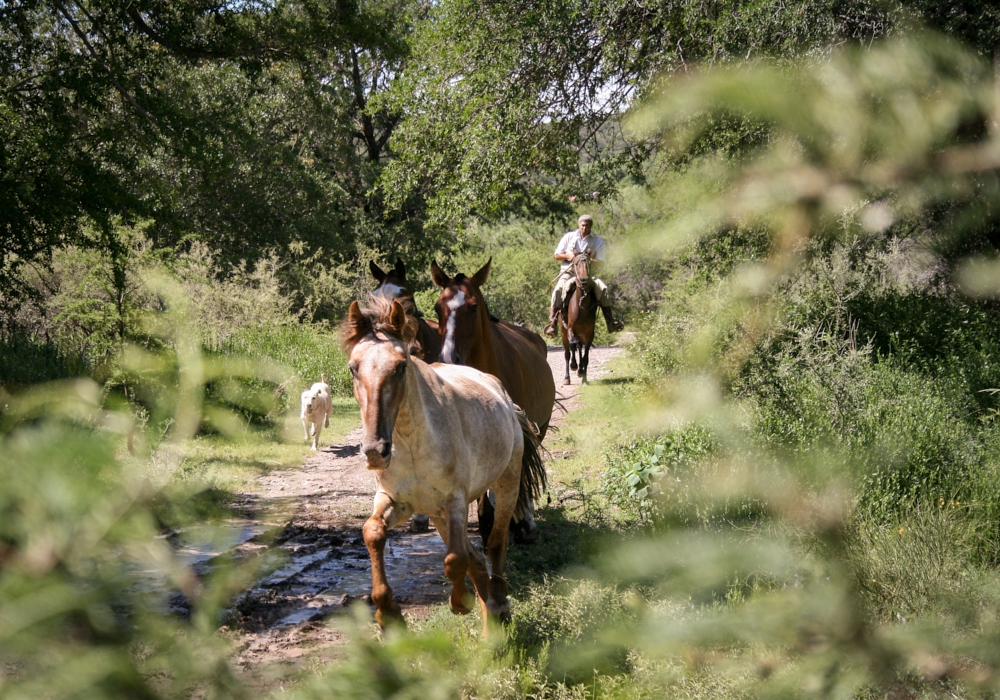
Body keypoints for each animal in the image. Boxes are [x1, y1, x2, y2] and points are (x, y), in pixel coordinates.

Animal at [344, 296, 548, 636]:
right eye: (352, 368)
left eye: (401, 366)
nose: (375, 451)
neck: (413, 444)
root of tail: (503, 394)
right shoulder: (397, 501)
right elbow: (372, 532)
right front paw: (388, 614)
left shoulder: (455, 501)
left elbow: (455, 559)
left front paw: (461, 602)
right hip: (437, 513)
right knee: (476, 556)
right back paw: (491, 620)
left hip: (505, 483)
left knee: (494, 544)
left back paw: (499, 601)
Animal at [560, 249, 596, 386]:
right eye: (575, 263)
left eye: (589, 263)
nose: (584, 280)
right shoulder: (570, 329)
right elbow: (572, 346)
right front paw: (574, 365)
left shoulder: (589, 333)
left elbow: (585, 357)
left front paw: (584, 379)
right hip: (563, 332)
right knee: (568, 352)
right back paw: (567, 377)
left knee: (580, 348)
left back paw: (580, 371)